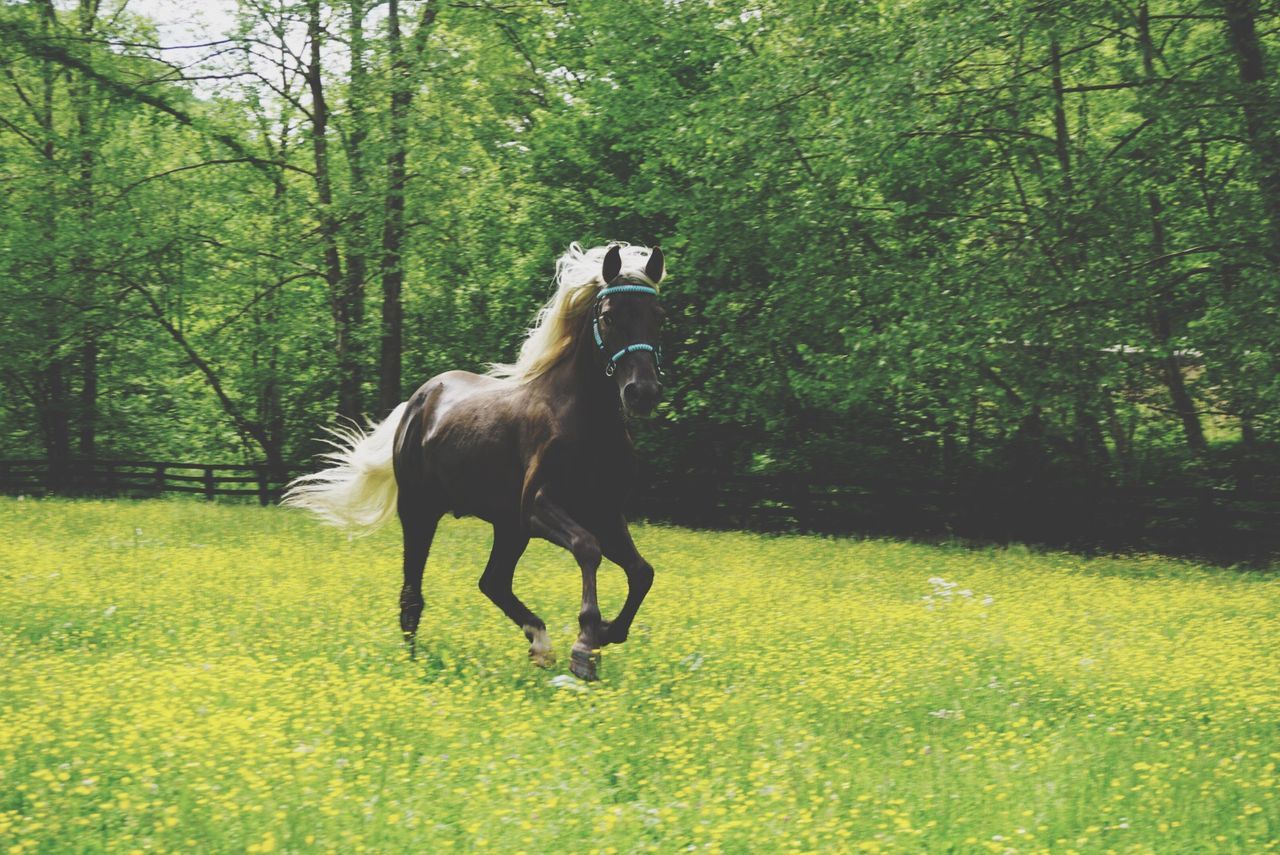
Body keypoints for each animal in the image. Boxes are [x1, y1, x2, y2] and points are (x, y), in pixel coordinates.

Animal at [284, 241, 665, 680]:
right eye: (609, 316)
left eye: (658, 316)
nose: (642, 392)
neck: (586, 422)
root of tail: (418, 401)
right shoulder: (539, 507)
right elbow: (588, 549)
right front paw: (586, 644)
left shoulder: (603, 511)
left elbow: (641, 572)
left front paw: (605, 633)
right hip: (421, 512)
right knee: (413, 593)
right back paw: (414, 664)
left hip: (507, 527)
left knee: (493, 582)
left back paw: (540, 644)